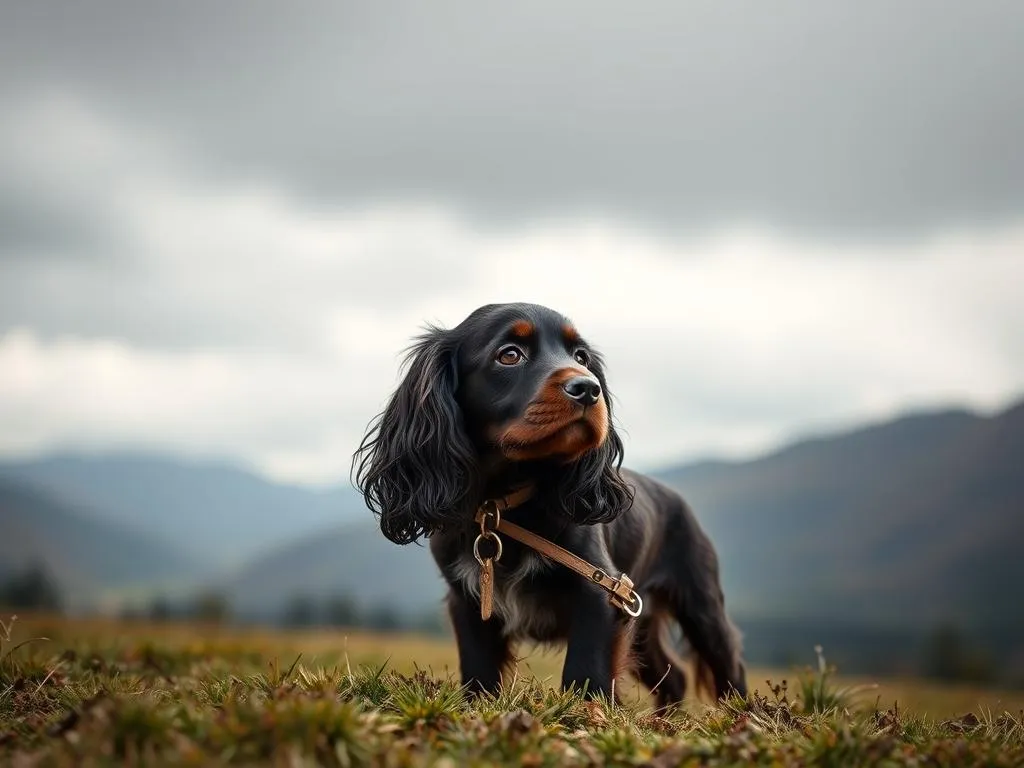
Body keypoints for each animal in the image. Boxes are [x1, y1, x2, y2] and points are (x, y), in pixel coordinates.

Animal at [356, 303, 749, 708]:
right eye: (509, 355)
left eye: (581, 357)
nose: (589, 388)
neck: (504, 504)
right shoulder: (467, 600)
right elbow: (479, 672)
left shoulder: (601, 593)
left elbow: (586, 674)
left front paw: (587, 718)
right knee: (674, 678)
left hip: (700, 605)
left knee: (728, 667)